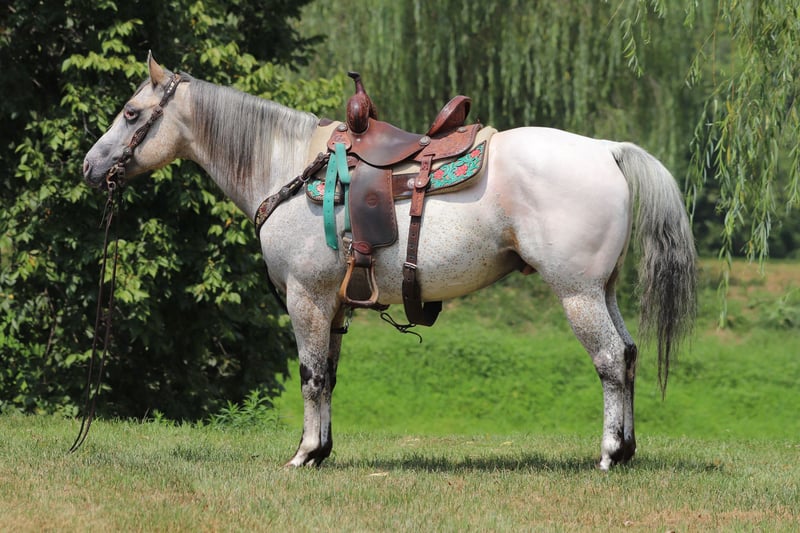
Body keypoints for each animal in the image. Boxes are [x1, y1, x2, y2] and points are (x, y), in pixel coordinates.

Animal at [83, 54, 696, 470]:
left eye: (131, 112)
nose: (91, 166)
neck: (291, 165)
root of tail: (607, 149)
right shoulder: (332, 305)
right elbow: (328, 376)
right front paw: (322, 450)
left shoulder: (305, 297)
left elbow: (309, 375)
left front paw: (304, 454)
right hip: (603, 290)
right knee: (630, 354)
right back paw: (628, 448)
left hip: (577, 292)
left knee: (611, 360)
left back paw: (610, 453)